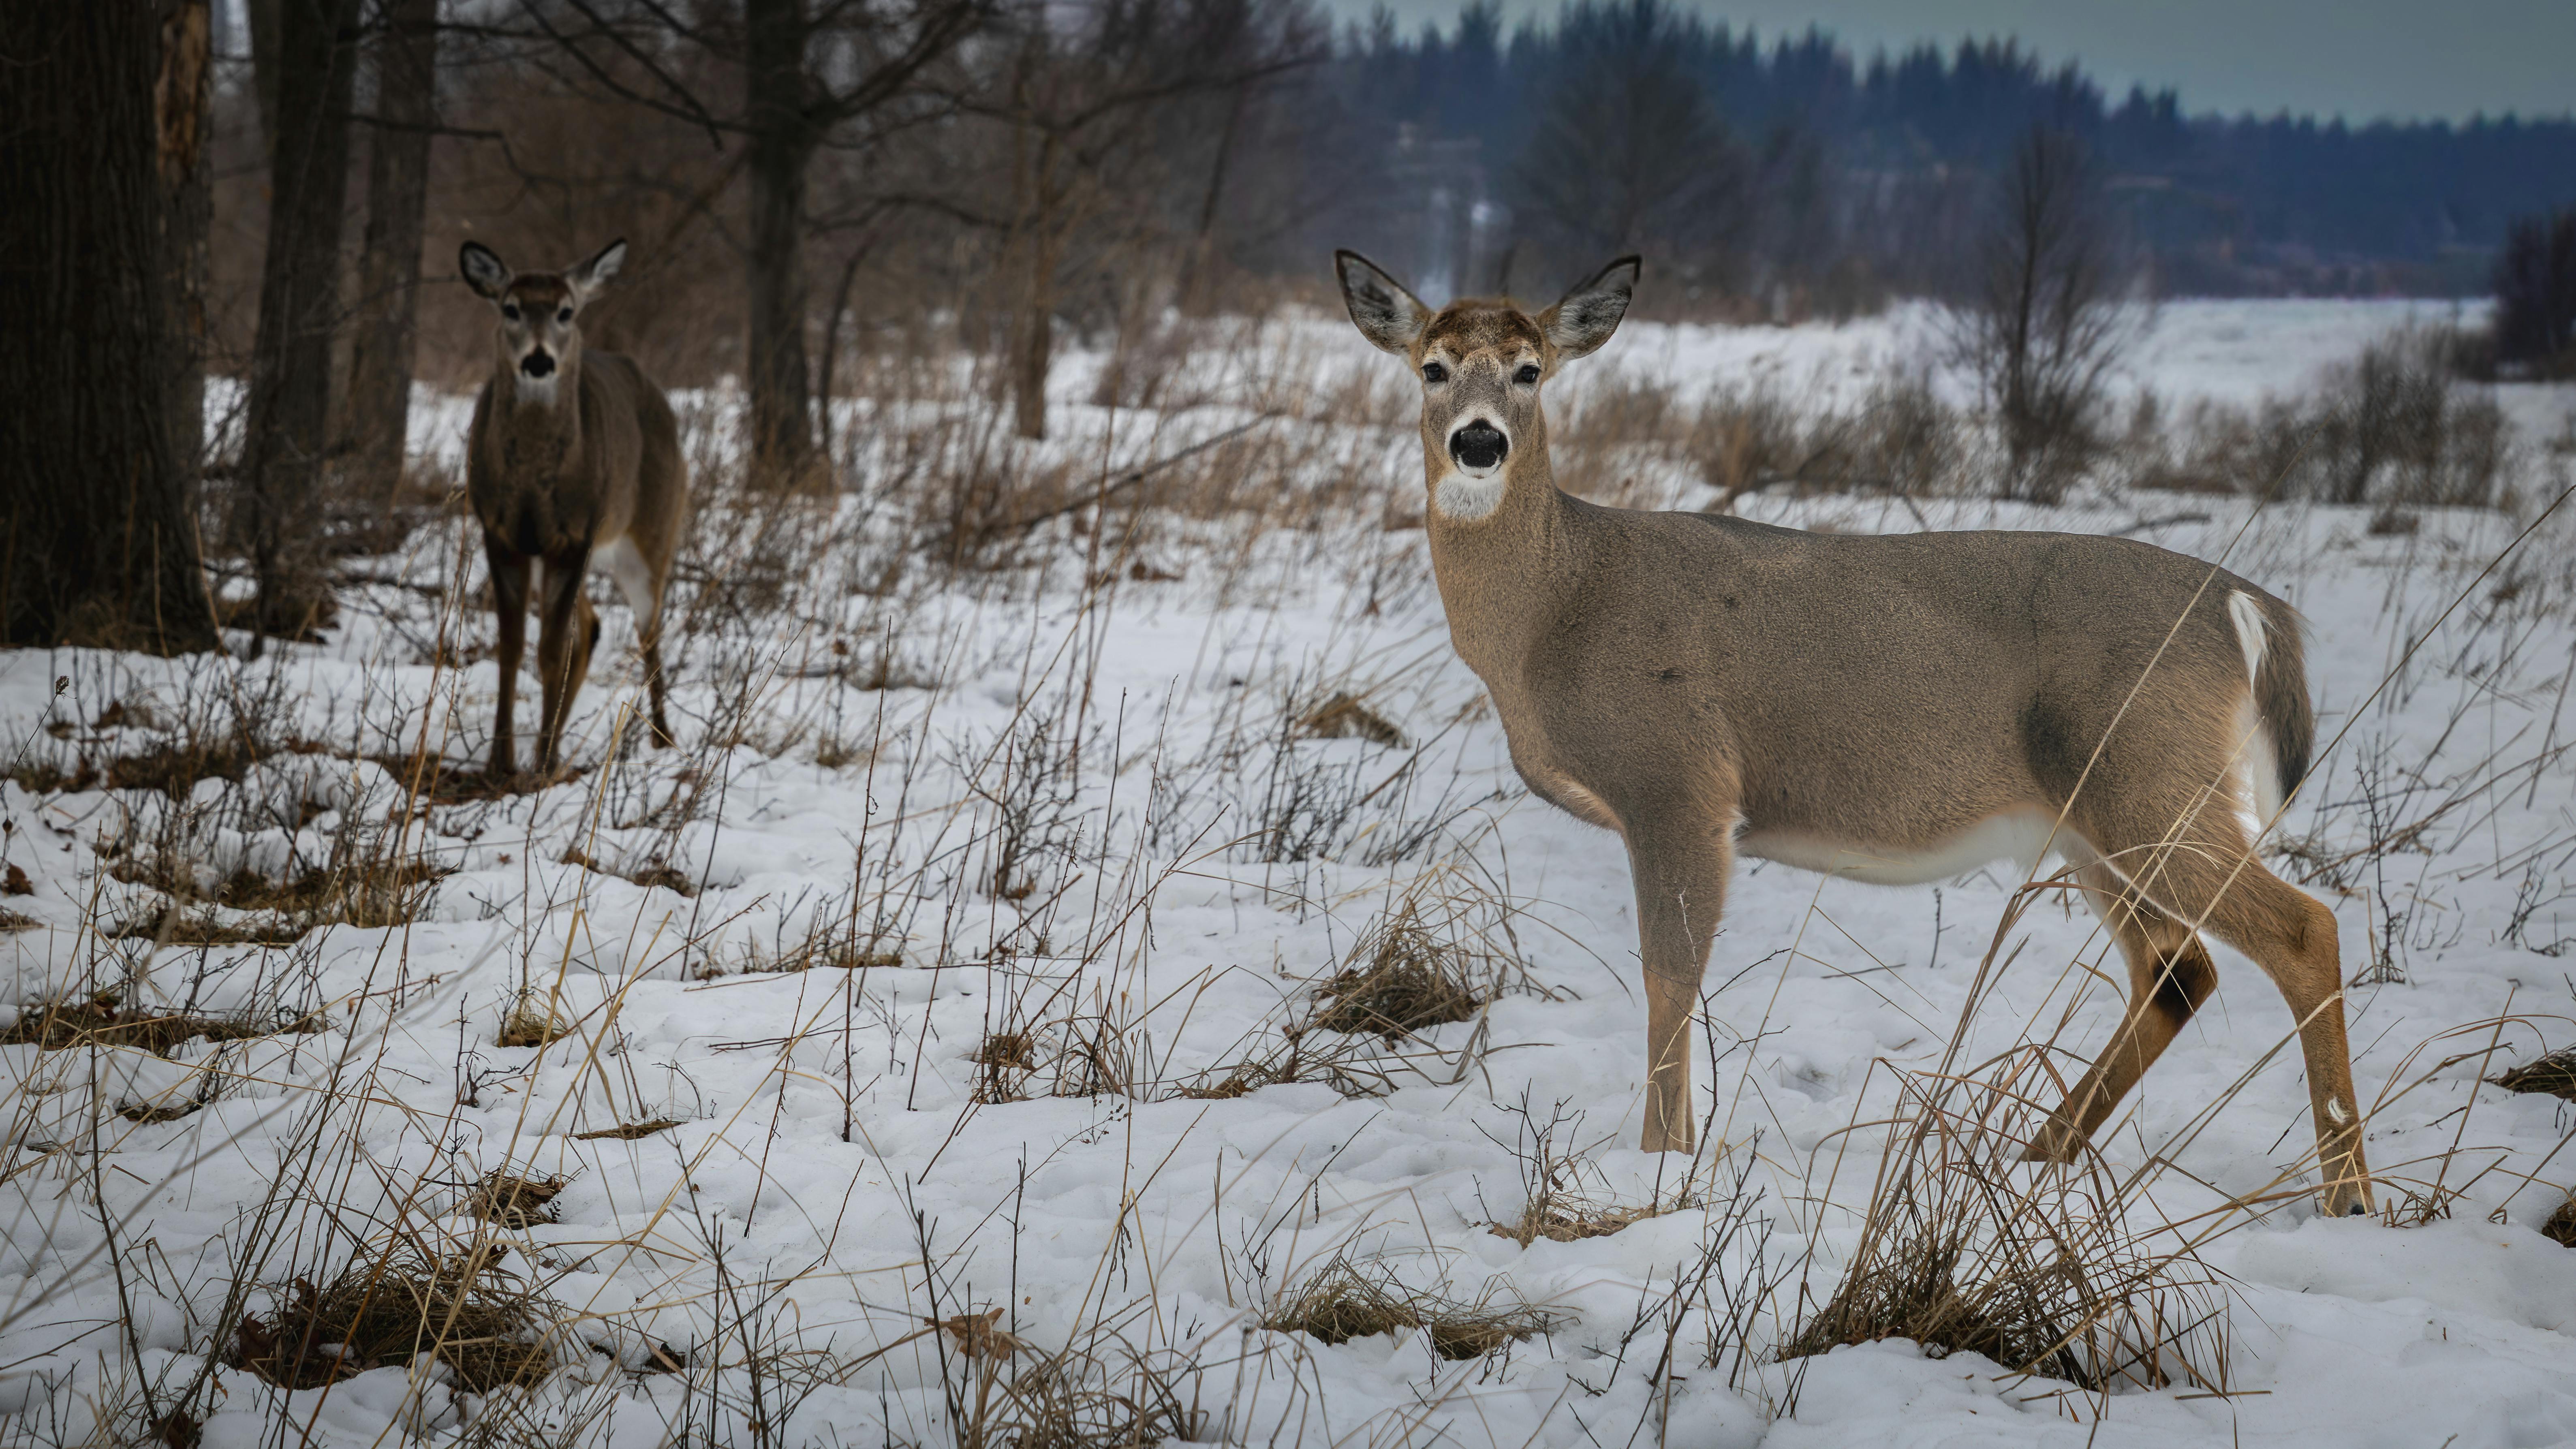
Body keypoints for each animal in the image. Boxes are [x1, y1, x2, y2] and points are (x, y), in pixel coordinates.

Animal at [459, 238, 687, 780]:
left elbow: (549, 652)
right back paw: (560, 743)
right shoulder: (501, 531)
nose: (539, 361)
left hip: (650, 533)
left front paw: (537, 766)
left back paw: (661, 741)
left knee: (648, 631)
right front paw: (501, 761)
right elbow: (512, 648)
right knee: (592, 627)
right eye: (511, 308)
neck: (532, 483)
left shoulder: (575, 534)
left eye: (566, 311)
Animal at [1334, 250, 2374, 1217]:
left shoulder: (1680, 781)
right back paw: (2033, 1156)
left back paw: (2348, 1193)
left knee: (2301, 928)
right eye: (1431, 367)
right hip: (2098, 813)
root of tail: (2246, 606)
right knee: (2177, 970)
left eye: (1530, 369)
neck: (1558, 606)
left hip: (2151, 777)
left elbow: (1669, 977)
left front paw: (1659, 1164)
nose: (1478, 441)